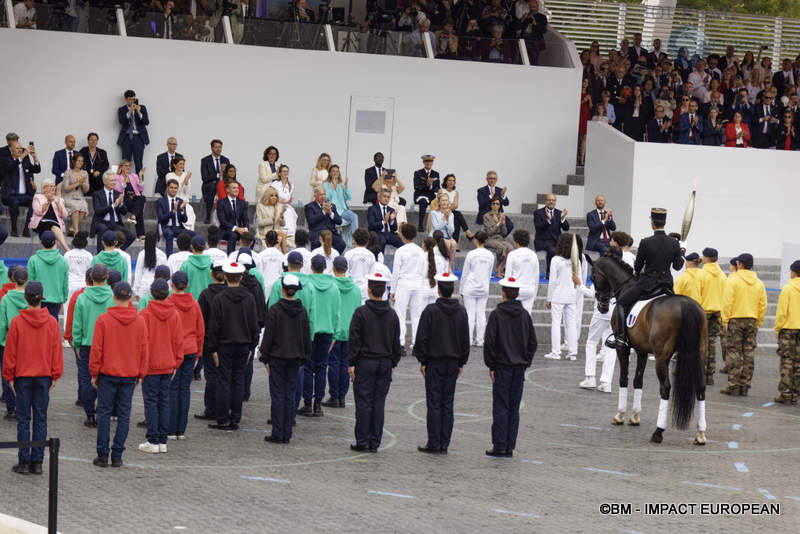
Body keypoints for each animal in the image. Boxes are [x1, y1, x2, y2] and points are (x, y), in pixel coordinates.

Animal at [592, 253, 708, 446]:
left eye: (593, 277)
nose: (602, 306)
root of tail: (685, 304)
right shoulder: (642, 351)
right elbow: (638, 381)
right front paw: (634, 417)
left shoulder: (623, 350)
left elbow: (624, 379)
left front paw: (620, 415)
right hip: (698, 355)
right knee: (700, 387)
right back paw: (700, 434)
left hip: (662, 358)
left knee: (665, 388)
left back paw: (658, 432)